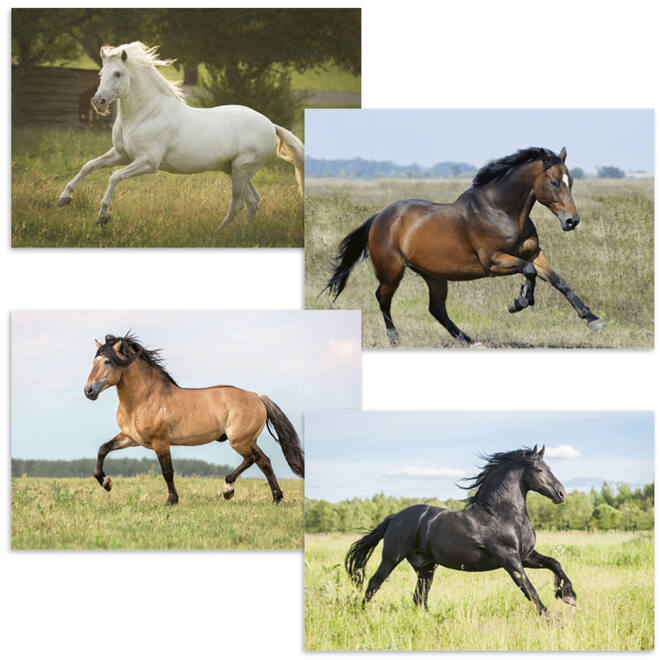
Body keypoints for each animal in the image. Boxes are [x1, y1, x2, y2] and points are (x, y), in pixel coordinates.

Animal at [57, 42, 304, 229]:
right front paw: (63, 198)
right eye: (101, 74)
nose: (98, 102)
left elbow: (114, 177)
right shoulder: (121, 154)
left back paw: (219, 232)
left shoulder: (147, 162)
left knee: (238, 203)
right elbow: (88, 166)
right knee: (253, 200)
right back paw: (246, 233)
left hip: (242, 170)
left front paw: (103, 217)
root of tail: (270, 125)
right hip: (235, 170)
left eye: (118, 74)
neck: (144, 114)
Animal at [84, 333, 304, 505]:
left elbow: (167, 471)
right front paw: (106, 483)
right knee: (264, 462)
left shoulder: (160, 442)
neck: (144, 399)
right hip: (249, 440)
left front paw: (171, 500)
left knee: (253, 459)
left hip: (239, 441)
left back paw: (228, 489)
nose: (88, 391)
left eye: (107, 361)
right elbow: (103, 449)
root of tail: (257, 397)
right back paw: (276, 498)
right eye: (93, 362)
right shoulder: (131, 437)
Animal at [325, 147, 605, 346]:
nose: (571, 221)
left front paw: (592, 319)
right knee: (383, 299)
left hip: (434, 276)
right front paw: (518, 302)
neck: (501, 211)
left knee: (436, 309)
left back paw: (467, 340)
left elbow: (559, 281)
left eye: (571, 181)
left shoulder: (536, 253)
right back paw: (395, 340)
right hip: (392, 272)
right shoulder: (493, 261)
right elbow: (529, 271)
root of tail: (380, 218)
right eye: (555, 182)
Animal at [345, 446, 576, 615]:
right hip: (392, 558)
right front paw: (549, 617)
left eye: (549, 467)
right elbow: (529, 588)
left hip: (426, 567)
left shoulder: (526, 555)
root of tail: (394, 517)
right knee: (374, 583)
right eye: (539, 470)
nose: (561, 494)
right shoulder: (509, 558)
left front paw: (568, 596)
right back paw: (361, 613)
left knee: (419, 597)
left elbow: (555, 564)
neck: (502, 515)